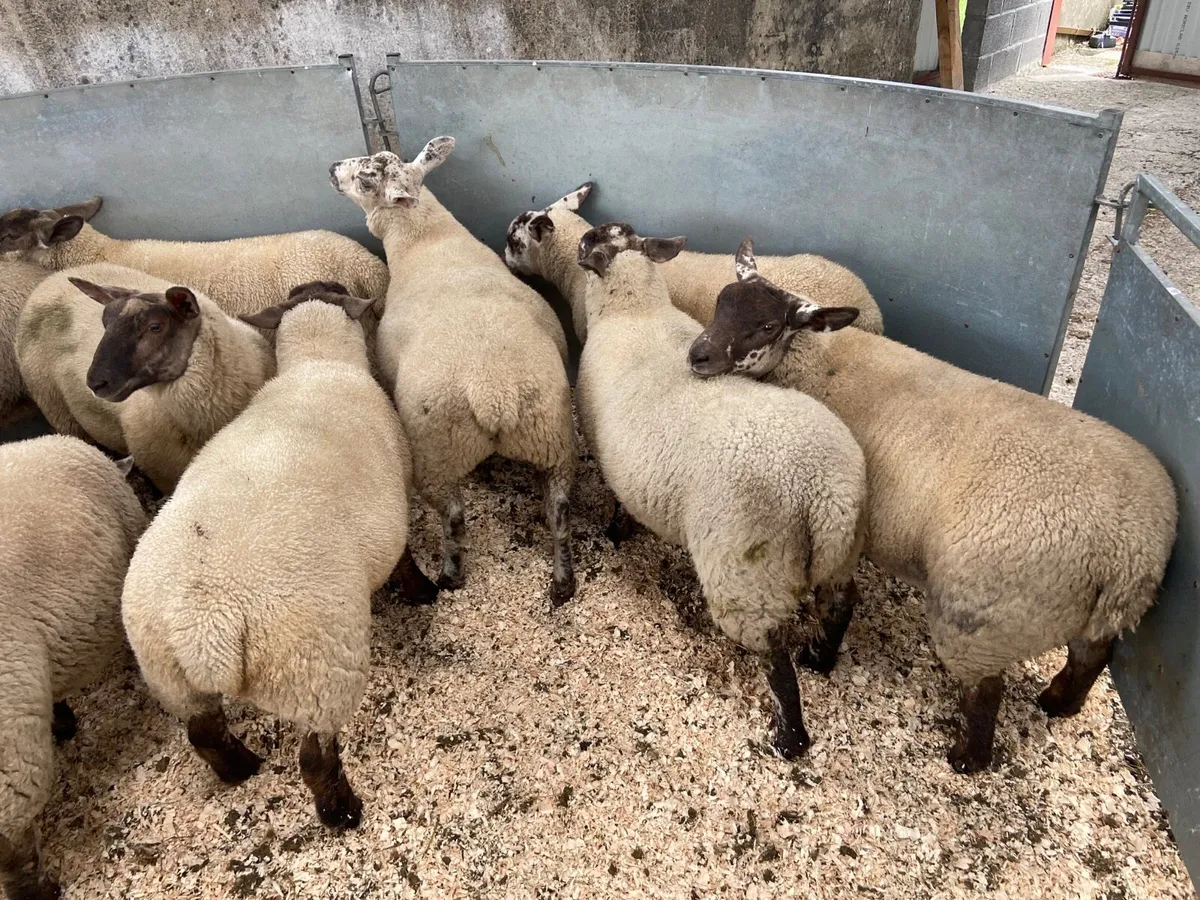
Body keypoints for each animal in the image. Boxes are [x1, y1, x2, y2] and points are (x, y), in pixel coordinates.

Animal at [17, 263, 274, 492]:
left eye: (155, 327)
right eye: (104, 323)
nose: (95, 383)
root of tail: (49, 281)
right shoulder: (165, 476)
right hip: (60, 413)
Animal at [121, 281, 436, 829]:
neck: (316, 362)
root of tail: (207, 625)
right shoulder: (397, 500)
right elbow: (404, 560)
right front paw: (424, 591)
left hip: (171, 678)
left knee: (203, 733)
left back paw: (241, 769)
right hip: (316, 673)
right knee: (314, 756)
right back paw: (341, 812)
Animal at [330, 138, 578, 606]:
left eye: (367, 179)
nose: (333, 167)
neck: (426, 239)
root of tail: (494, 394)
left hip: (436, 454)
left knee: (456, 517)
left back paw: (451, 574)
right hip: (552, 439)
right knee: (559, 513)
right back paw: (563, 581)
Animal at [573, 222, 866, 758]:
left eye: (593, 242)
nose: (582, 238)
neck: (633, 312)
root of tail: (826, 496)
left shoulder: (614, 465)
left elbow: (620, 506)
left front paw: (615, 534)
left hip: (747, 572)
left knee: (773, 656)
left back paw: (789, 739)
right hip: (840, 556)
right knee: (841, 605)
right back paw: (819, 660)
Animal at [688, 238, 1179, 774]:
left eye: (767, 326)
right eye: (721, 302)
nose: (698, 355)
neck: (816, 359)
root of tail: (1131, 549)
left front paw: (818, 659)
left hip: (983, 616)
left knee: (986, 691)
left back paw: (965, 758)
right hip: (1086, 615)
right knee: (1091, 657)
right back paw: (1056, 703)